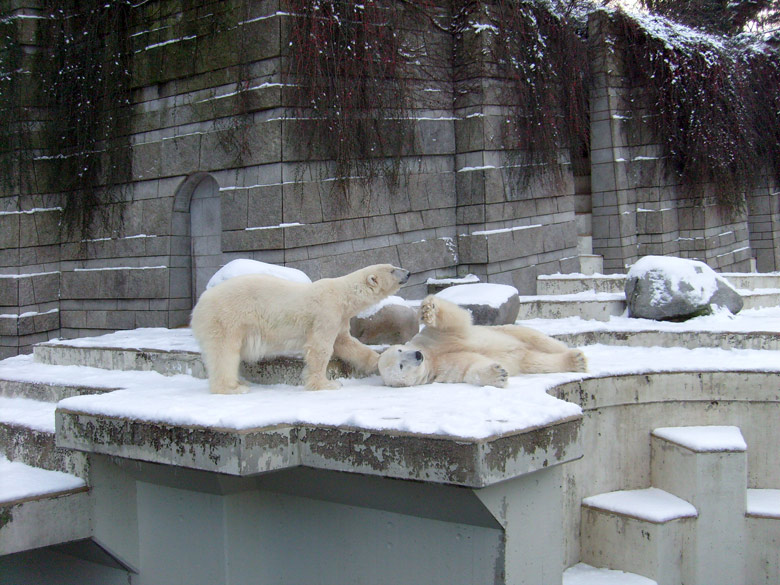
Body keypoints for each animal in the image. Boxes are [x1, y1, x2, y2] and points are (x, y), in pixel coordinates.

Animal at [192, 264, 412, 392]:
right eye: (392, 269)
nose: (409, 272)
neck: (343, 295)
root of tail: (200, 304)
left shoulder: (340, 318)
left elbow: (346, 343)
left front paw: (378, 360)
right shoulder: (327, 312)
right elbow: (320, 348)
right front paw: (326, 384)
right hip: (226, 318)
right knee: (224, 352)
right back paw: (233, 387)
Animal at [378, 294, 584, 386]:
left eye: (399, 350)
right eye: (401, 366)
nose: (417, 356)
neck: (431, 356)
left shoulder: (431, 339)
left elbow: (454, 322)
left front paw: (428, 310)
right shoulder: (443, 370)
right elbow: (471, 367)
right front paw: (498, 374)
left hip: (511, 331)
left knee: (541, 340)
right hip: (523, 358)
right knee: (537, 362)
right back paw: (575, 361)